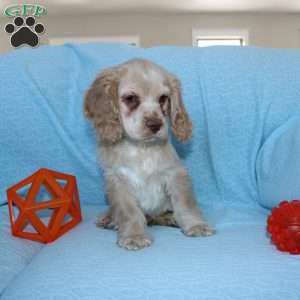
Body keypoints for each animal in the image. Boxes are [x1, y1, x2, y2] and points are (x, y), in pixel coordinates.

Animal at [85, 58, 213, 251]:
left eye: (163, 98)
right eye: (131, 98)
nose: (155, 124)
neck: (142, 149)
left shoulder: (176, 173)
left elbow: (185, 203)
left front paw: (196, 225)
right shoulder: (117, 181)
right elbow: (129, 212)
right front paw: (134, 236)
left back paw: (170, 218)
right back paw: (109, 219)